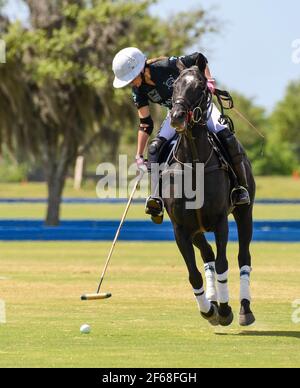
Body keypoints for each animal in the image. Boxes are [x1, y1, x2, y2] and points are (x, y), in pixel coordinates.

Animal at [164, 64, 255, 328]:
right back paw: (212, 301)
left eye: (200, 87)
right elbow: (194, 273)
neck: (194, 163)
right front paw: (209, 310)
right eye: (175, 85)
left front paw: (224, 310)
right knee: (207, 256)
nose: (176, 117)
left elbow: (224, 263)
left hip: (244, 212)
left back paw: (244, 309)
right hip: (197, 230)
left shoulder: (220, 220)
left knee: (243, 256)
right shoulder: (181, 229)